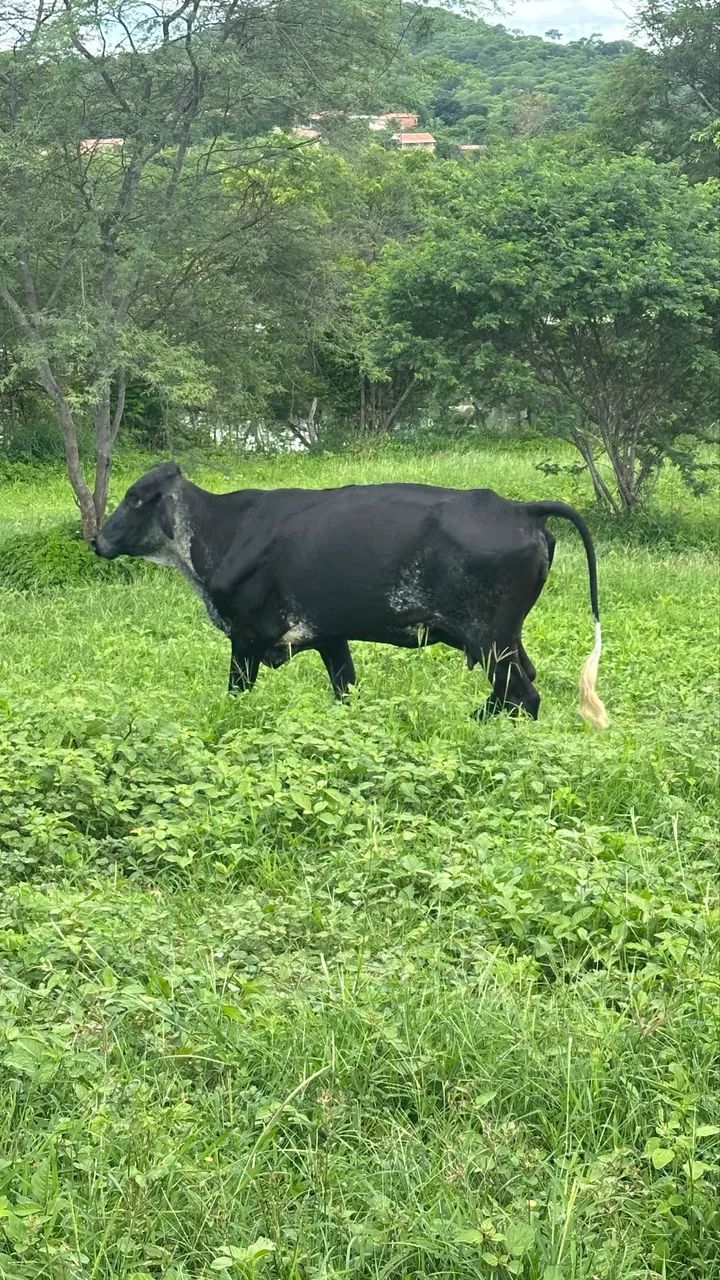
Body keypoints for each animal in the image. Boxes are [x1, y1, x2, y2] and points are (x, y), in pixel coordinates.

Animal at [93, 462, 608, 728]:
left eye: (135, 499)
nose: (97, 540)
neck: (224, 532)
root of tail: (518, 508)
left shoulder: (244, 639)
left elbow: (236, 693)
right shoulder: (330, 636)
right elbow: (346, 690)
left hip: (490, 639)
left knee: (522, 694)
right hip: (503, 639)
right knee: (519, 686)